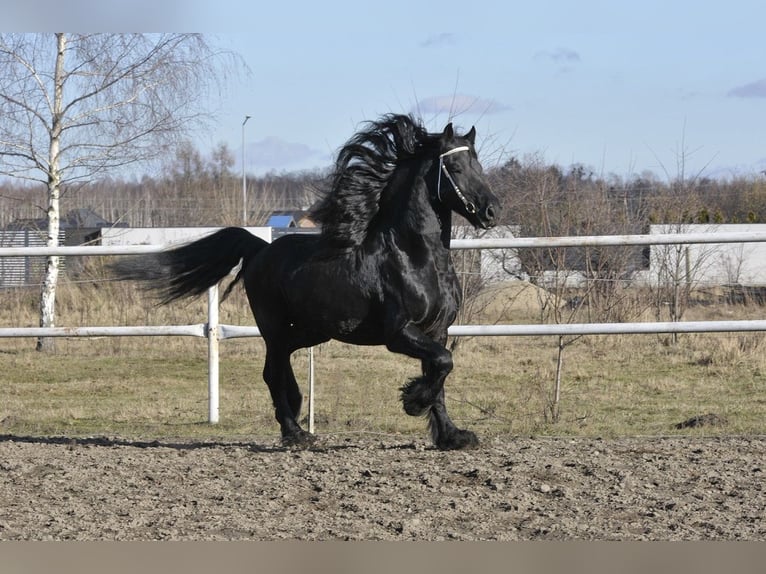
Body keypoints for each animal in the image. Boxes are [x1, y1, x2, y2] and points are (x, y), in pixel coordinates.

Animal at [118, 115, 504, 452]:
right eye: (456, 168)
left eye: (479, 166)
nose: (491, 212)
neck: (414, 256)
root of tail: (260, 250)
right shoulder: (399, 333)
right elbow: (442, 364)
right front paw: (412, 401)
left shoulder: (437, 330)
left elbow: (441, 373)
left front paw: (452, 436)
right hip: (273, 327)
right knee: (272, 372)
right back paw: (295, 434)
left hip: (312, 329)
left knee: (282, 364)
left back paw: (296, 411)